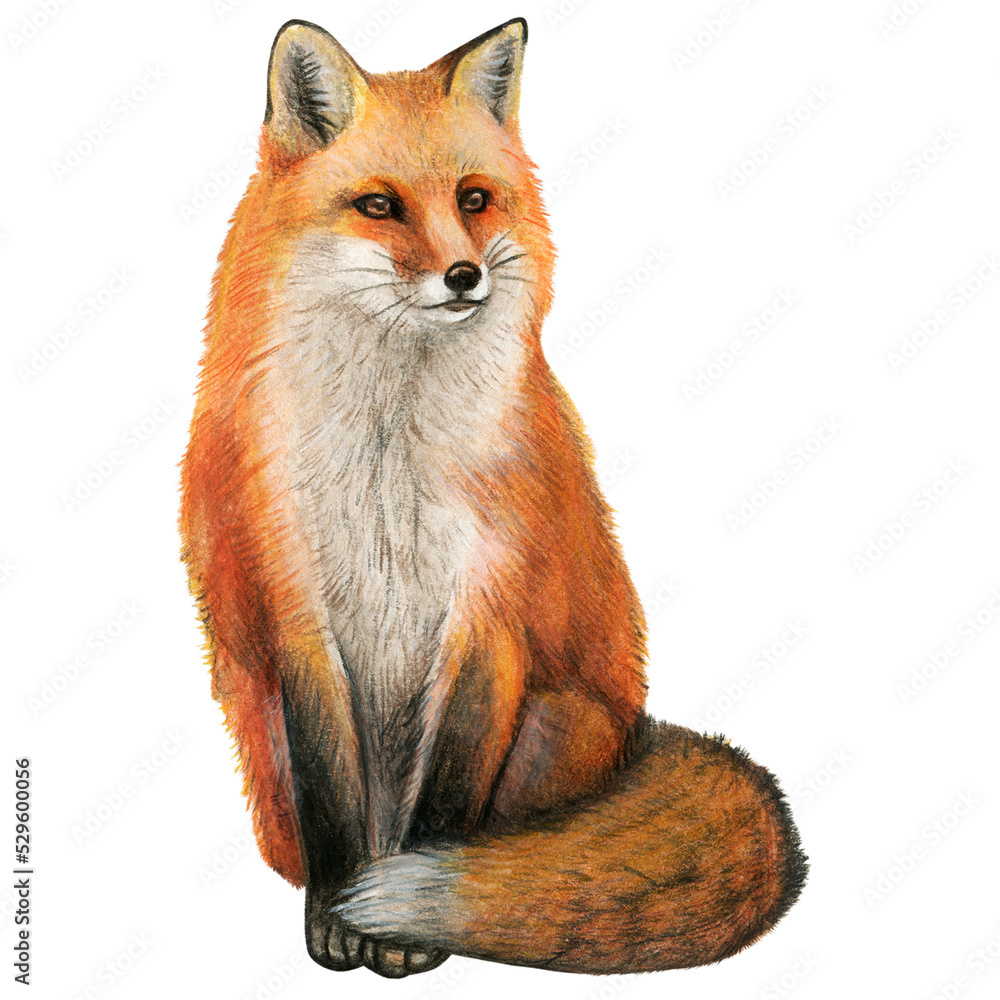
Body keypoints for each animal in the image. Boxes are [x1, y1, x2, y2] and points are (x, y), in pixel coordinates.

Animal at [179, 17, 807, 980]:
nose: (465, 275)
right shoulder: (298, 612)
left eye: (474, 198)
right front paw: (337, 919)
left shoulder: (489, 611)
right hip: (261, 740)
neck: (389, 457)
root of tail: (638, 736)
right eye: (379, 206)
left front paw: (403, 932)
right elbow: (332, 800)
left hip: (554, 720)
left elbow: (447, 788)